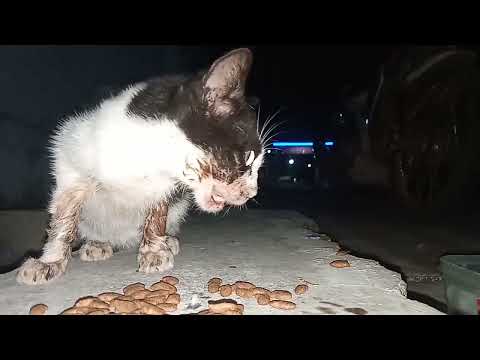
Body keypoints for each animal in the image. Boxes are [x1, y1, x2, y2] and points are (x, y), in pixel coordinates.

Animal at [16, 47, 264, 284]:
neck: (147, 158)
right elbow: (64, 215)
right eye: (248, 157)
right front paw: (49, 261)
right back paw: (98, 243)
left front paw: (154, 250)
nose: (253, 192)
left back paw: (168, 240)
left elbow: (157, 212)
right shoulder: (71, 154)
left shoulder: (163, 187)